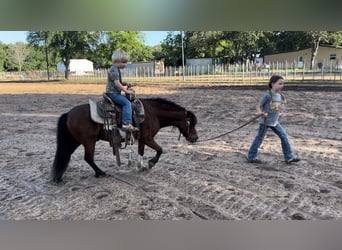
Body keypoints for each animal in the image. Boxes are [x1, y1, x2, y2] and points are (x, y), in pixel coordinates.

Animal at [52, 98, 199, 184]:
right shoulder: (148, 138)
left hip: (75, 141)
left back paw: (58, 177)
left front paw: (140, 166)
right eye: (190, 123)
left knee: (65, 154)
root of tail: (68, 114)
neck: (152, 113)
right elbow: (160, 149)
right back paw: (100, 173)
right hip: (89, 141)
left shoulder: (142, 139)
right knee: (88, 157)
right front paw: (151, 163)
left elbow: (141, 152)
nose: (195, 138)